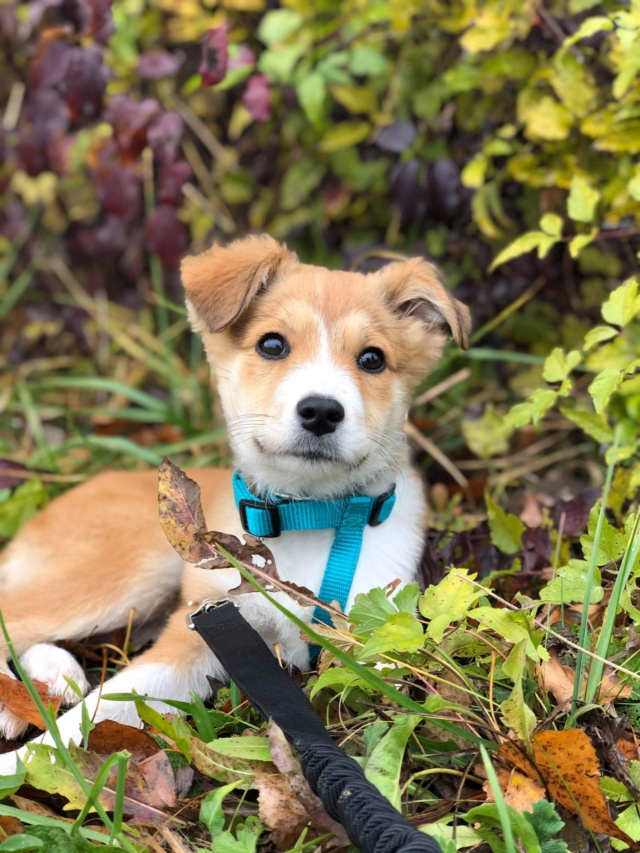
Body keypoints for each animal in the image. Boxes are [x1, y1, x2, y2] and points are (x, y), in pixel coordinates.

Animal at [0, 236, 470, 776]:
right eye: (272, 345)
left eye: (372, 359)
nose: (321, 411)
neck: (306, 515)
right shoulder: (204, 627)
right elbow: (97, 711)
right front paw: (19, 768)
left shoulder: (378, 643)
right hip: (122, 574)